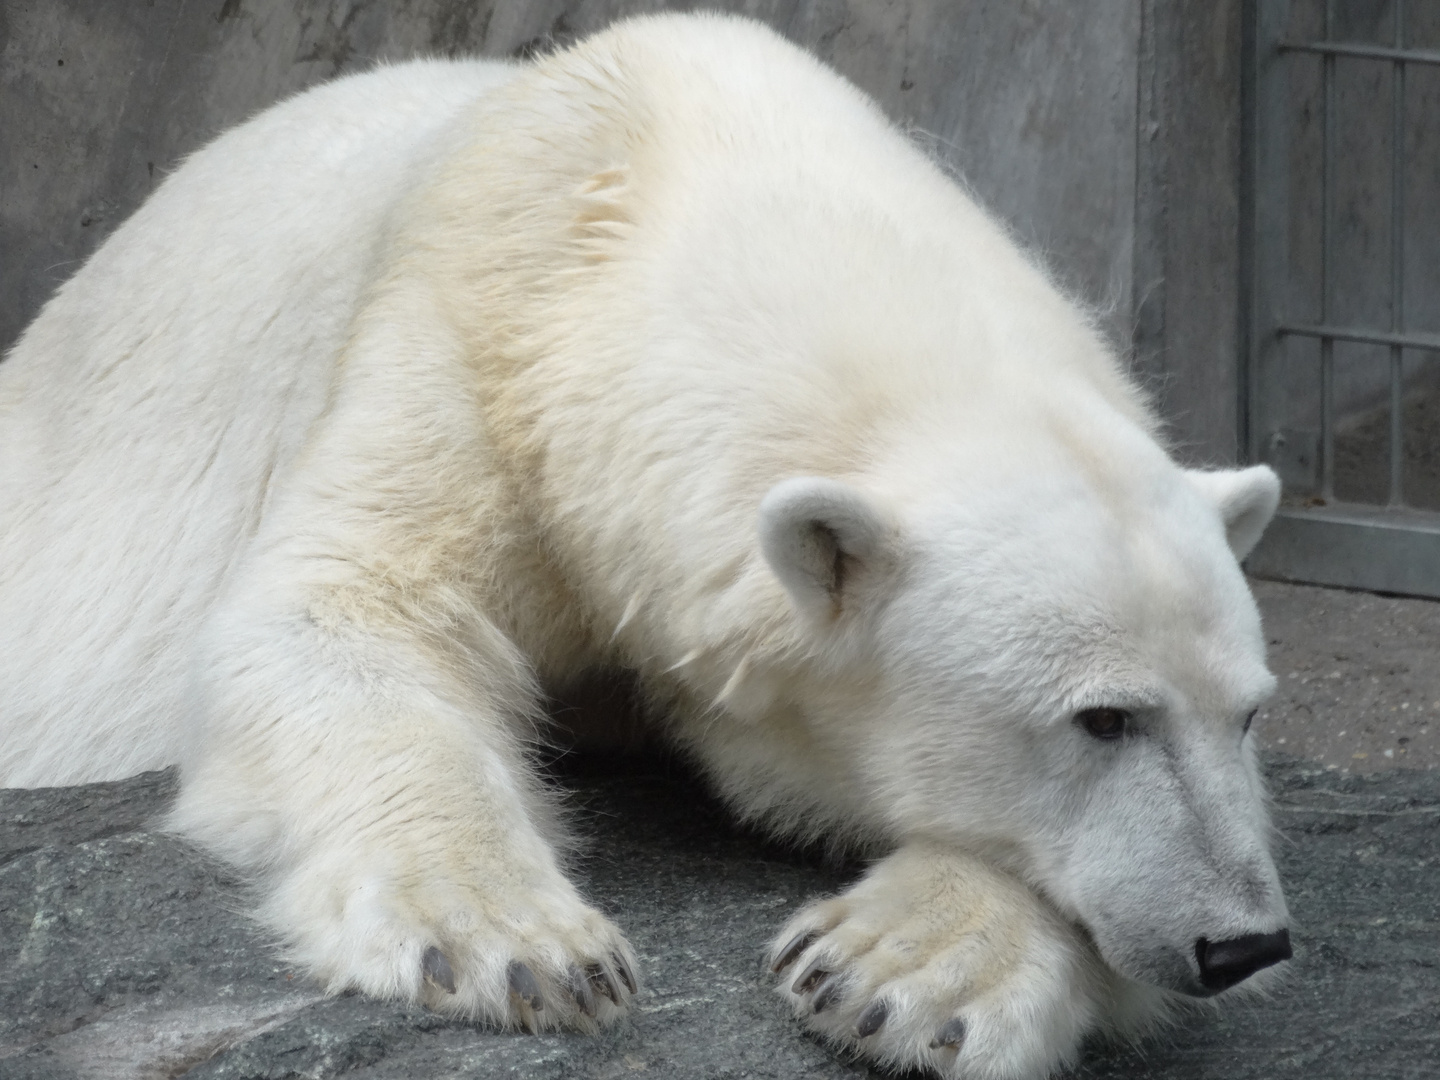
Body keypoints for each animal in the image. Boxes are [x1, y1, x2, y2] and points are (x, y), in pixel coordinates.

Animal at [0, 10, 1284, 1080]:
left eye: (1250, 713)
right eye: (1103, 717)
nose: (1244, 944)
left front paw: (899, 973)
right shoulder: (468, 344)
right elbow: (343, 612)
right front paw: (524, 947)